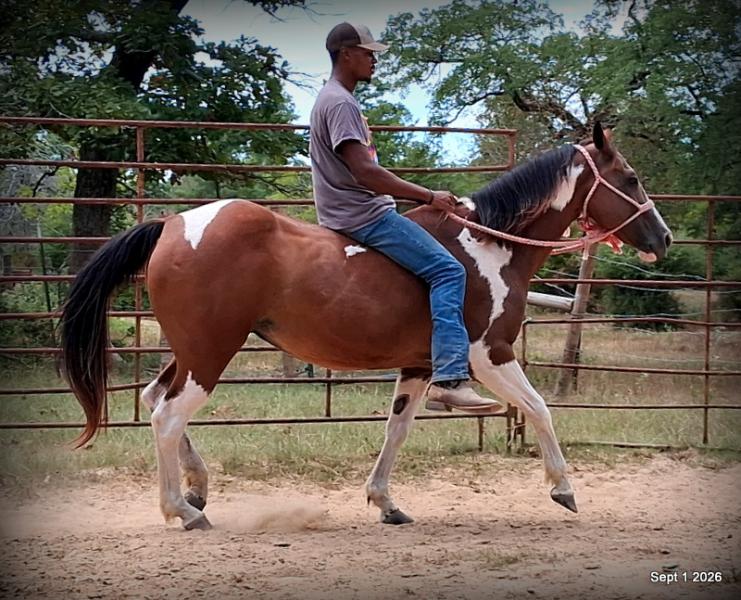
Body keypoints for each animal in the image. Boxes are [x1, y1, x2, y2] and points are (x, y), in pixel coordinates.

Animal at [60, 123, 672, 530]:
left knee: (152, 398)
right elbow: (541, 408)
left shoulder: (420, 366)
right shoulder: (489, 353)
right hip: (211, 353)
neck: (491, 245)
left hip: (192, 351)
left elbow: (396, 431)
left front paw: (386, 503)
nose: (662, 238)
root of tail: (173, 224)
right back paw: (182, 511)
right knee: (166, 416)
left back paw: (197, 492)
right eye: (630, 178)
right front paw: (563, 489)